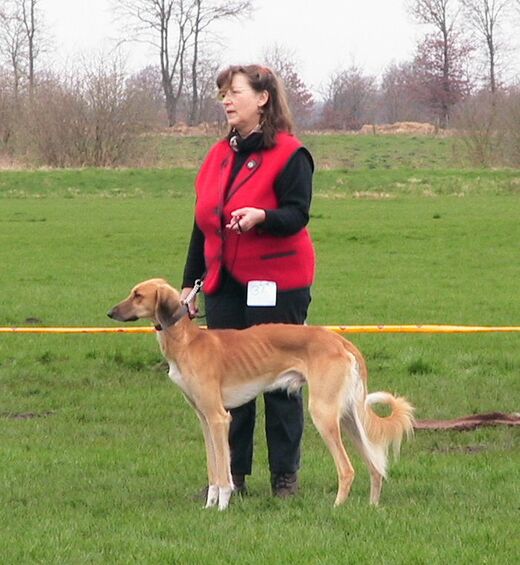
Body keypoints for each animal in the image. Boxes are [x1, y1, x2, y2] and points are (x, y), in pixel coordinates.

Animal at [106, 278, 414, 512]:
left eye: (137, 295)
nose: (110, 313)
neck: (188, 342)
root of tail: (340, 340)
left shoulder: (219, 418)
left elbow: (224, 473)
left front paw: (222, 507)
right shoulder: (204, 419)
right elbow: (213, 468)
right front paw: (209, 505)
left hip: (323, 414)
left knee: (348, 469)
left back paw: (336, 508)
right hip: (348, 416)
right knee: (375, 467)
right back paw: (372, 507)